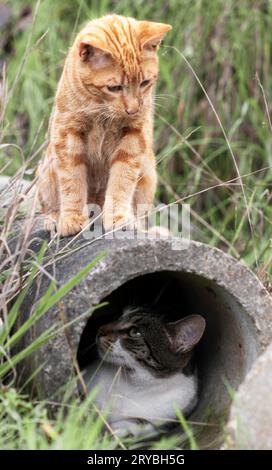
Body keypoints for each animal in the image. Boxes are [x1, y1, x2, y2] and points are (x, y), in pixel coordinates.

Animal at [36, 15, 171, 237]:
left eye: (144, 83)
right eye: (114, 87)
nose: (133, 109)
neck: (101, 109)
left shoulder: (134, 137)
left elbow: (121, 181)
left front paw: (118, 218)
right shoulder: (67, 136)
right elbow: (72, 182)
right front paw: (72, 219)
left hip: (148, 172)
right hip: (46, 172)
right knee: (48, 207)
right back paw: (54, 219)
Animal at [84, 308, 205, 436]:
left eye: (135, 332)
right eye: (118, 317)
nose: (100, 329)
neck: (135, 386)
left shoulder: (176, 414)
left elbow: (145, 423)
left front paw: (117, 428)